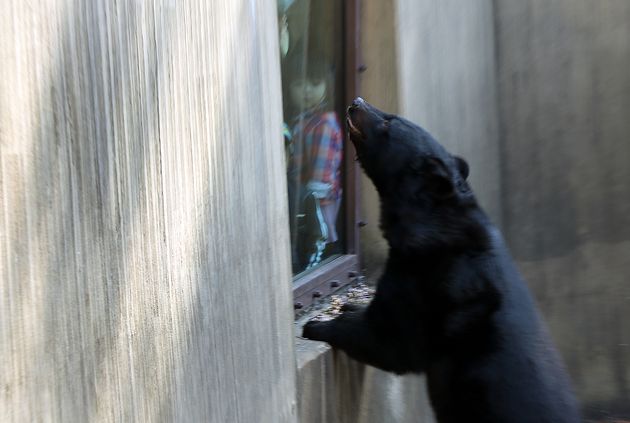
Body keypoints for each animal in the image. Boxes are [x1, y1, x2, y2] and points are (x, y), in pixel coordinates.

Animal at [302, 99, 584, 423]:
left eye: (389, 122)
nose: (356, 103)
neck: (432, 220)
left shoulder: (427, 273)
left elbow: (393, 339)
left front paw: (318, 324)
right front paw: (351, 306)